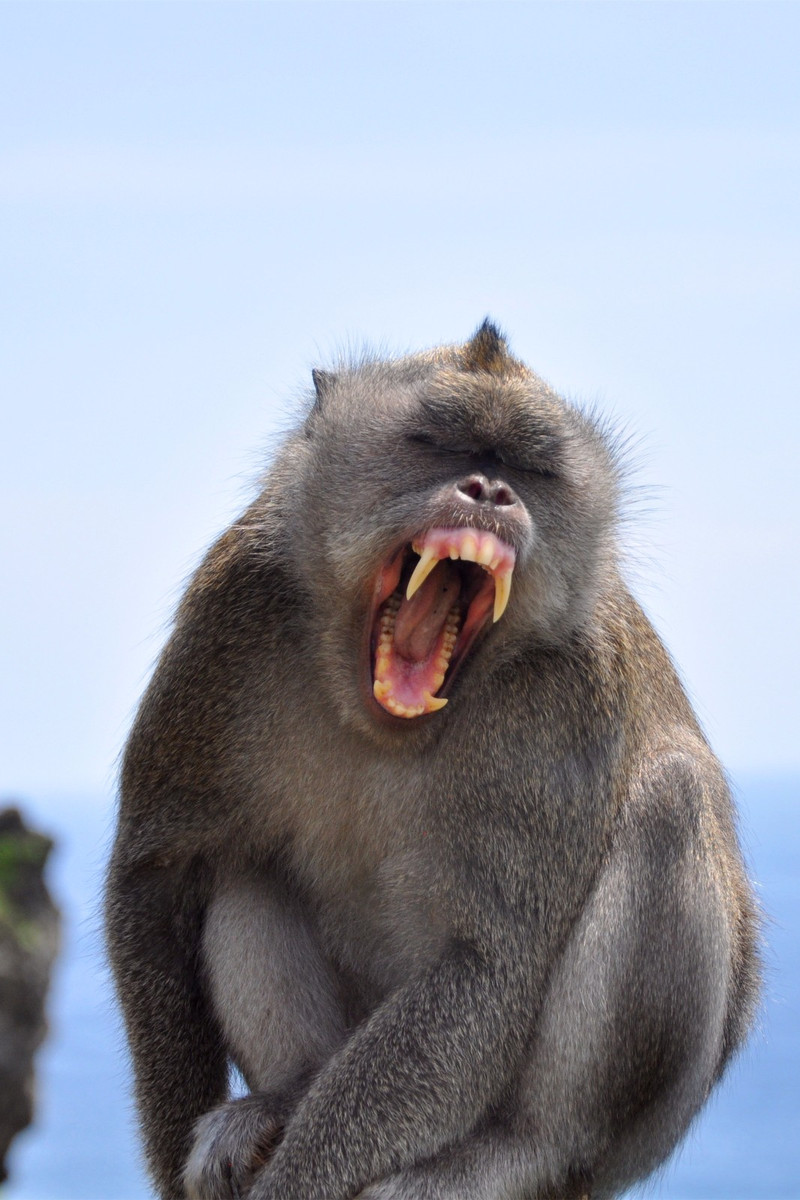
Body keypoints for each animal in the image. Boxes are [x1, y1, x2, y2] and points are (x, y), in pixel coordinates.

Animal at [103, 321, 762, 1200]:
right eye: (437, 443)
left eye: (531, 468)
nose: (488, 491)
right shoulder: (231, 608)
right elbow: (157, 873)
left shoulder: (568, 698)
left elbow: (482, 967)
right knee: (242, 864)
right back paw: (282, 1099)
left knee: (672, 804)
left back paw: (517, 1151)